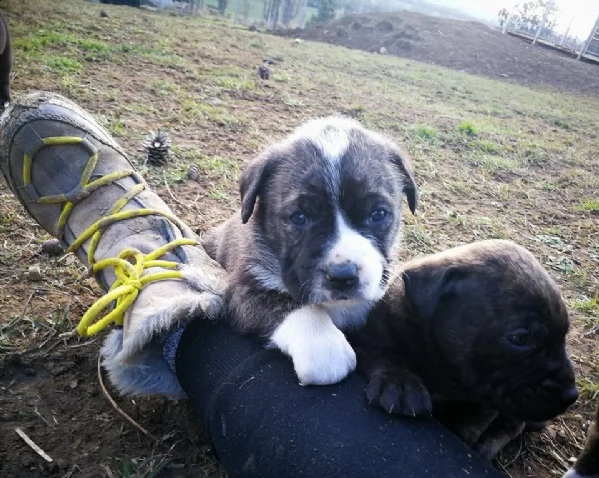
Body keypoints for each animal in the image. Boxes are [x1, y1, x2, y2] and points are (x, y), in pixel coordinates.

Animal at [352, 239, 580, 460]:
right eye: (520, 338)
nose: (571, 395)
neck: (445, 366)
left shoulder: (483, 406)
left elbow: (466, 428)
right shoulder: (368, 341)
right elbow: (387, 355)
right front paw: (400, 383)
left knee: (512, 425)